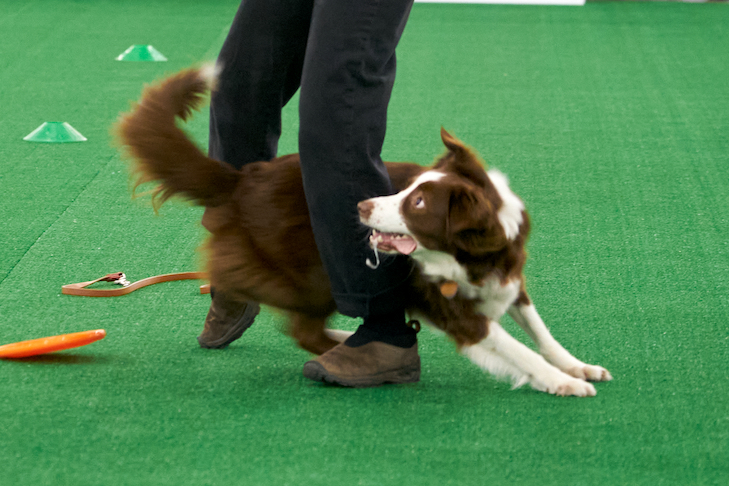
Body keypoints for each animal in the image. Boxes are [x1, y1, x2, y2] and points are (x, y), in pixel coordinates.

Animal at [118, 66, 608, 396]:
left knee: (302, 328)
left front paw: (577, 367)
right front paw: (561, 382)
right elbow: (518, 350)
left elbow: (541, 333)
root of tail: (242, 179)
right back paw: (343, 345)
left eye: (417, 202)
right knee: (301, 327)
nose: (362, 205)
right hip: (315, 272)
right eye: (409, 189)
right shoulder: (457, 313)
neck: (471, 257)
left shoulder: (509, 279)